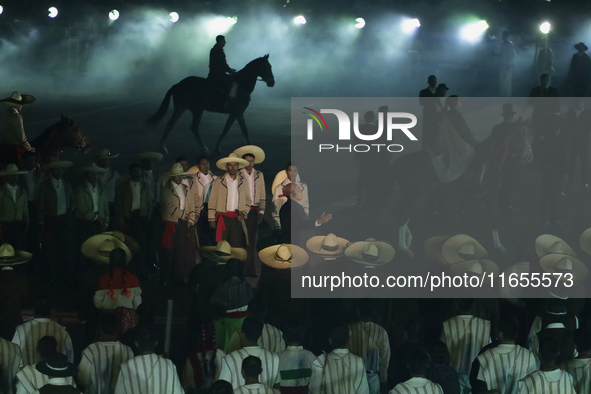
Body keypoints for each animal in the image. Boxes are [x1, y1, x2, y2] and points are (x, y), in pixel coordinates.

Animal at [148, 54, 278, 155]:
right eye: (267, 66)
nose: (272, 82)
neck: (242, 84)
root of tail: (178, 84)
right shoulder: (235, 112)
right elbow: (226, 129)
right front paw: (217, 148)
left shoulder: (239, 112)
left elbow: (244, 130)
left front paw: (250, 146)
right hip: (196, 110)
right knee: (193, 127)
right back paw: (203, 149)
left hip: (183, 108)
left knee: (171, 124)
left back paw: (163, 147)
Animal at [394, 118, 532, 258]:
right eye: (524, 134)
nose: (529, 156)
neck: (491, 159)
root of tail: (399, 162)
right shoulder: (492, 196)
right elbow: (493, 219)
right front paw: (499, 246)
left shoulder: (466, 197)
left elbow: (462, 218)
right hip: (416, 196)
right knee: (404, 216)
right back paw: (404, 248)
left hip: (408, 195)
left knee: (400, 213)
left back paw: (408, 239)